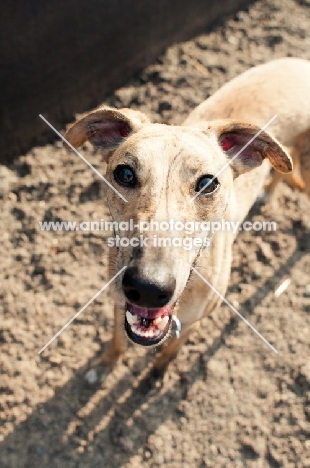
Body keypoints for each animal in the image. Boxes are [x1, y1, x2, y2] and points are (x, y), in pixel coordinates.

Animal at [64, 58, 310, 372]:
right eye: (125, 174)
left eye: (207, 183)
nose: (147, 288)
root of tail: (300, 62)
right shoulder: (119, 304)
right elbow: (117, 341)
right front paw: (104, 366)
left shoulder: (194, 323)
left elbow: (169, 352)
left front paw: (156, 373)